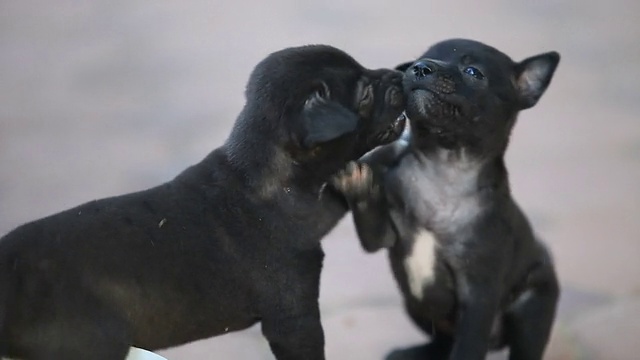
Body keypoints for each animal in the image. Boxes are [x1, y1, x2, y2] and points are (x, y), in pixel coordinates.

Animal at [332, 38, 564, 358]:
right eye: (416, 62)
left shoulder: (478, 294)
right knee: (440, 340)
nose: (420, 68)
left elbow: (467, 347)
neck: (444, 163)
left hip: (532, 310)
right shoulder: (384, 237)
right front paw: (359, 184)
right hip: (415, 304)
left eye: (473, 72)